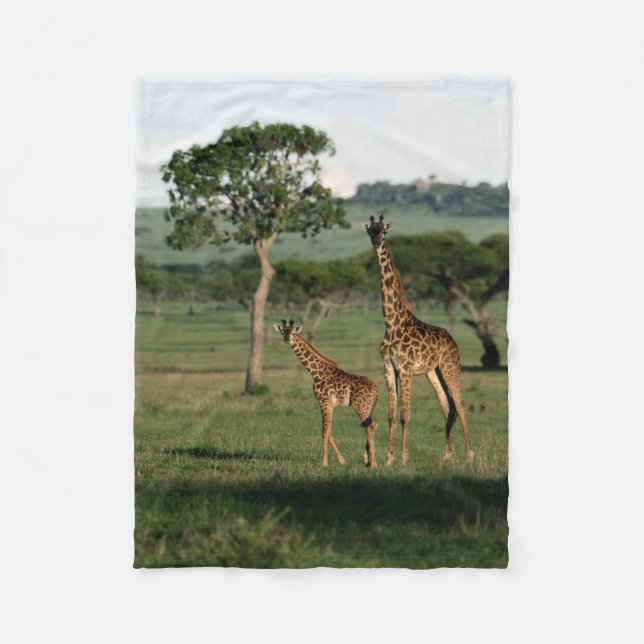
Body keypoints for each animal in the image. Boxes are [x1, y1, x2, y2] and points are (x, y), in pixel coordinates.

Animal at [273, 319, 379, 468]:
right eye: (283, 332)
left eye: (293, 332)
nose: (287, 339)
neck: (316, 372)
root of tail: (376, 389)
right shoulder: (329, 404)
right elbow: (330, 431)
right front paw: (342, 460)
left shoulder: (324, 402)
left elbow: (324, 431)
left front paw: (324, 462)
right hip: (368, 407)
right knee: (374, 423)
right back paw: (367, 460)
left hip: (360, 406)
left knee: (369, 427)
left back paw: (373, 464)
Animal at [363, 215, 474, 465]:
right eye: (370, 231)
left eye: (384, 231)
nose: (376, 241)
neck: (391, 323)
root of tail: (452, 340)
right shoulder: (389, 369)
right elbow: (391, 415)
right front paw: (389, 459)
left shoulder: (405, 369)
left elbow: (405, 415)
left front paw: (403, 459)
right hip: (433, 371)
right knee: (448, 405)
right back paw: (447, 455)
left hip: (450, 366)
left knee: (461, 403)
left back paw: (470, 455)